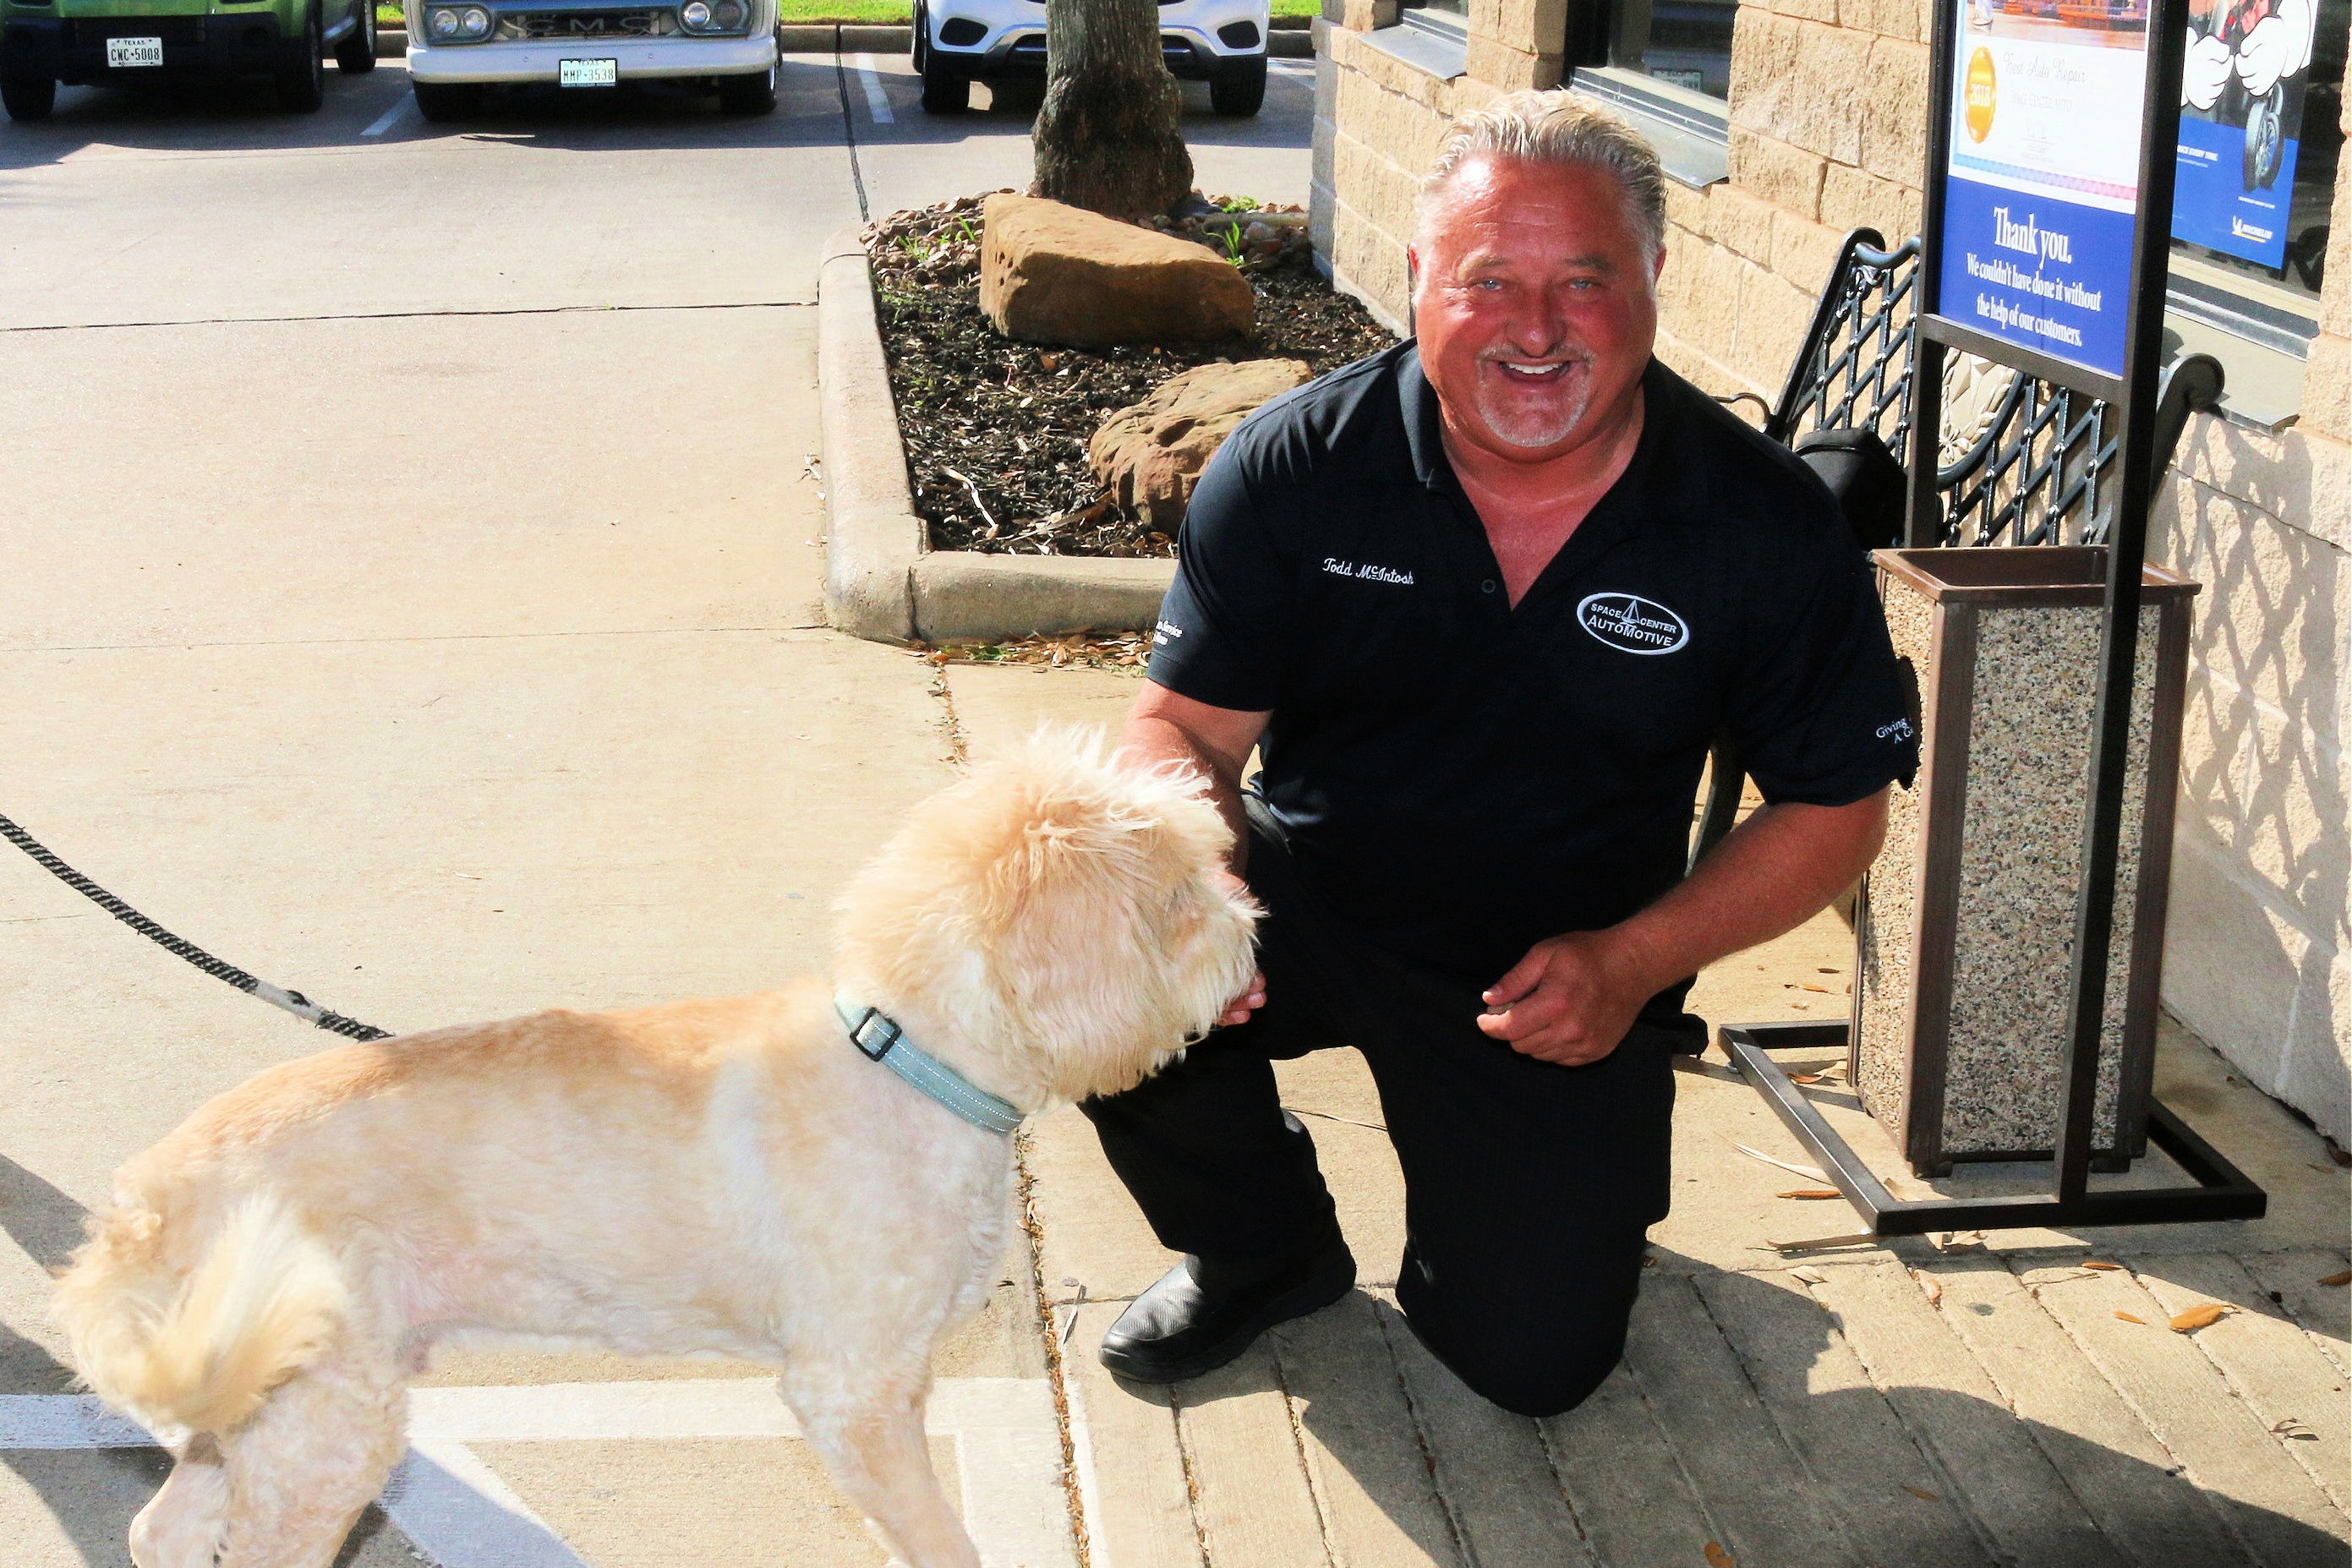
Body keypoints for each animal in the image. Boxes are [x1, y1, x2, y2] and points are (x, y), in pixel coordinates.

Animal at [46, 733, 1261, 1568]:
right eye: (1177, 893)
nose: (1254, 926)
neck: (903, 1053)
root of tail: (142, 1203)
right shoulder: (849, 1392)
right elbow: (940, 1541)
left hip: (261, 1409)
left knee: (161, 1531)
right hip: (322, 1430)